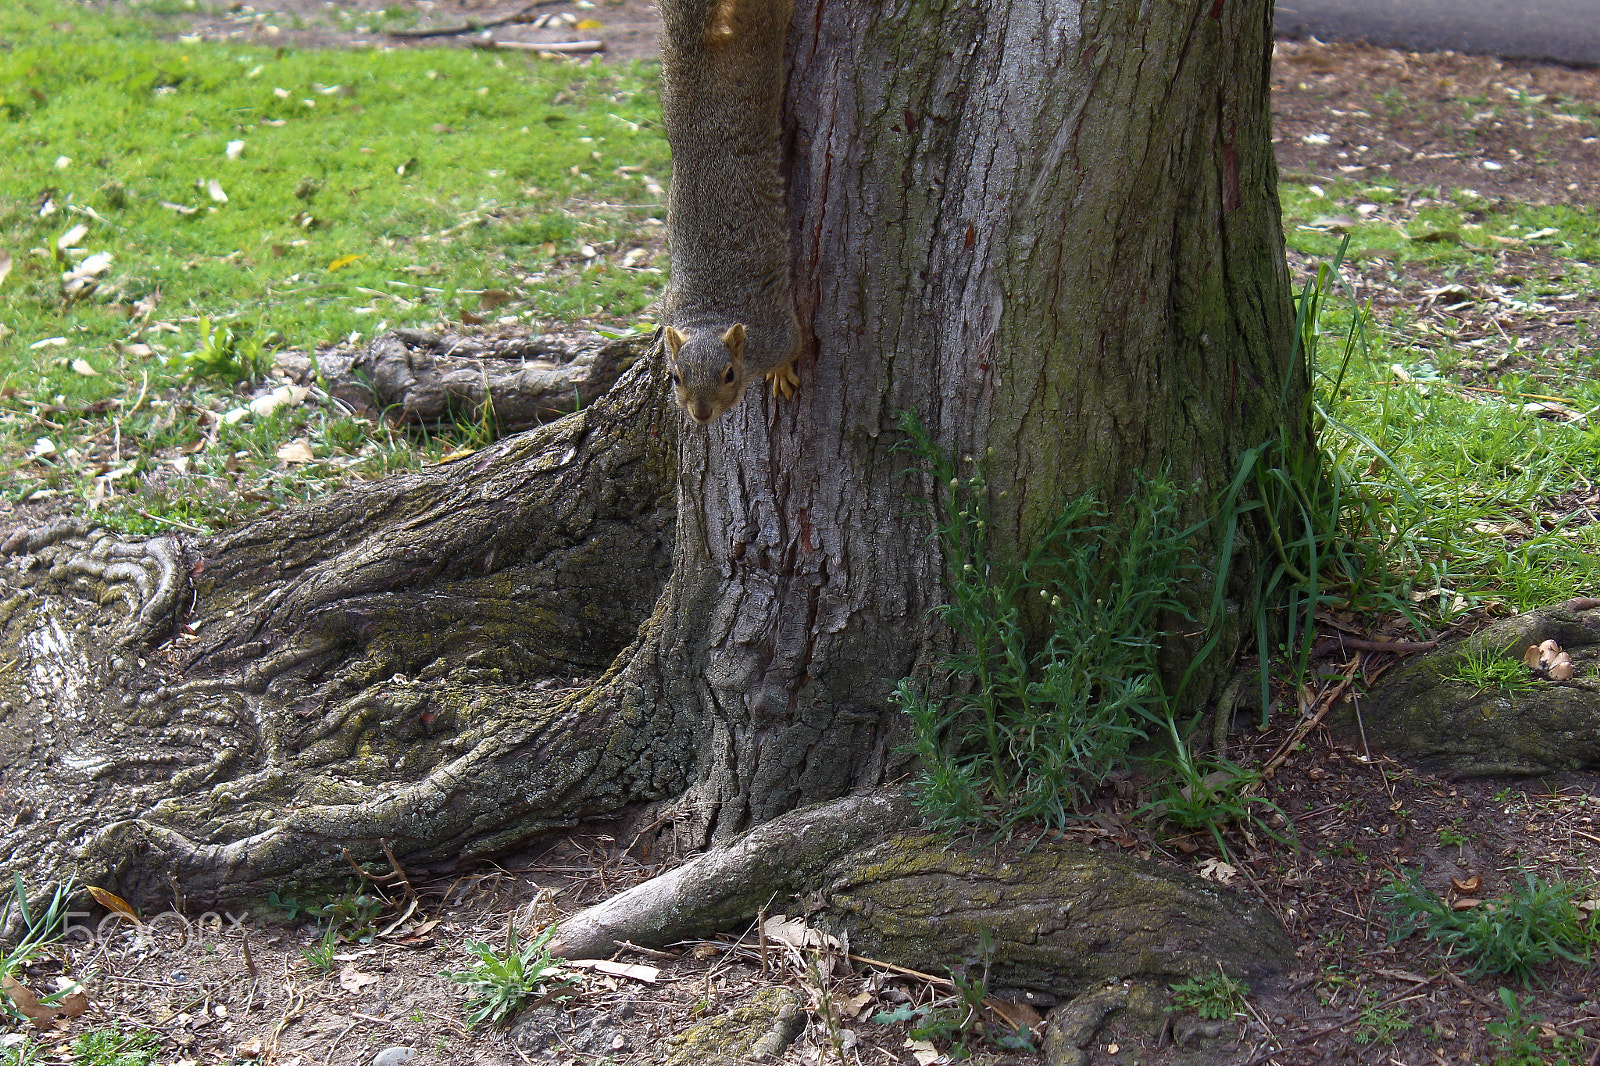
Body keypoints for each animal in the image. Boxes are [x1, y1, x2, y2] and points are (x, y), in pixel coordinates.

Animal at [658, 0, 800, 423]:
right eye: (675, 377)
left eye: (729, 374)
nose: (701, 414)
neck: (710, 314)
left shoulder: (778, 331)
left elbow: (797, 345)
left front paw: (781, 373)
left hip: (759, 44)